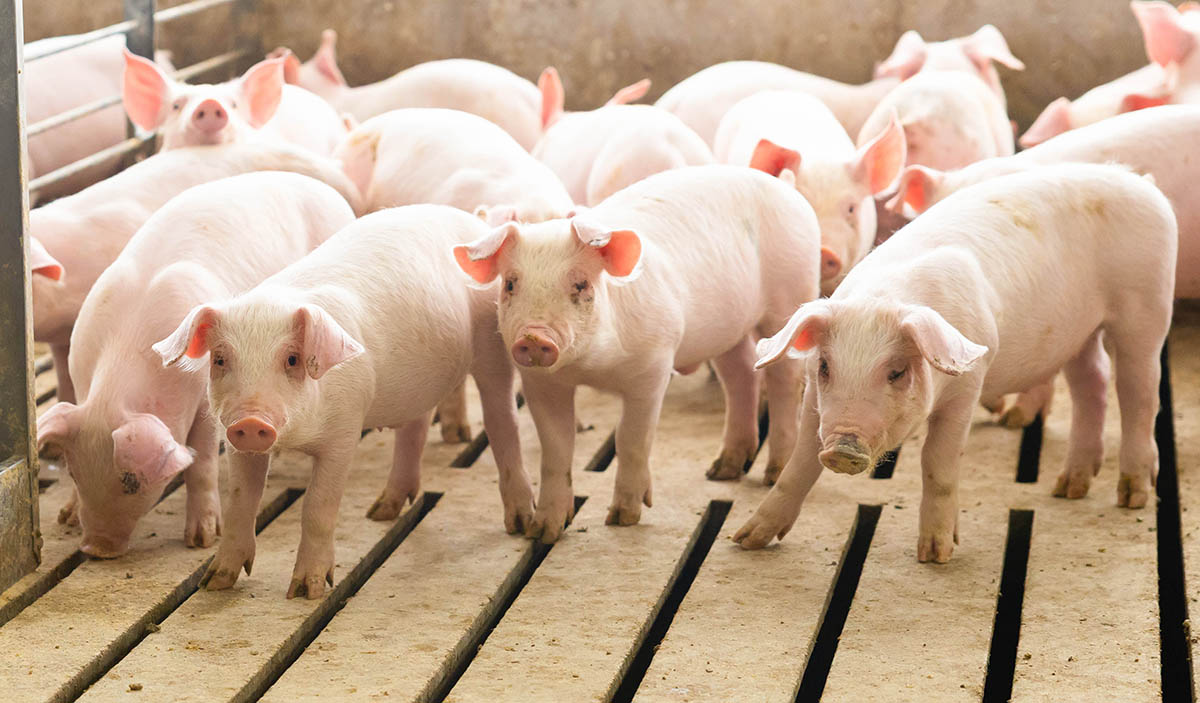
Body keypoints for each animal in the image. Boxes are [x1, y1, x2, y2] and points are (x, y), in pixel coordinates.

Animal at [36, 172, 355, 558]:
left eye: (132, 482)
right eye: (75, 473)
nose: (95, 548)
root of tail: (322, 187)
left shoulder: (206, 401)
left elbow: (201, 463)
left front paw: (202, 540)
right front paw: (66, 517)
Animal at [154, 205, 529, 599]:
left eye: (292, 359)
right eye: (220, 359)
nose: (251, 422)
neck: (298, 437)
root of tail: (474, 223)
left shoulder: (345, 430)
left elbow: (318, 505)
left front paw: (306, 591)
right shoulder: (237, 443)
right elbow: (241, 501)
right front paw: (214, 582)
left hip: (492, 342)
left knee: (503, 418)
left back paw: (519, 524)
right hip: (420, 382)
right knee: (416, 425)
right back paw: (380, 512)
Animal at [453, 166, 822, 543]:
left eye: (581, 284)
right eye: (511, 284)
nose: (534, 336)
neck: (593, 368)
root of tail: (786, 186)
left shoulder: (654, 366)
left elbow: (630, 439)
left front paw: (622, 518)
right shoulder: (542, 384)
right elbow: (556, 450)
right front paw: (541, 532)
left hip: (791, 293)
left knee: (784, 380)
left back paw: (772, 472)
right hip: (725, 328)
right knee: (741, 372)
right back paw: (720, 471)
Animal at [736, 164, 1176, 563]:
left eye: (896, 371)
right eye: (826, 365)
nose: (844, 447)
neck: (883, 297)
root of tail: (1144, 183)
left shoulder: (969, 385)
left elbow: (937, 461)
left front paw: (936, 555)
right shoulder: (815, 399)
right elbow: (801, 462)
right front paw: (746, 540)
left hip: (1146, 308)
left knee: (1138, 394)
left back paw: (1132, 496)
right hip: (1078, 334)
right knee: (1092, 383)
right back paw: (1068, 488)